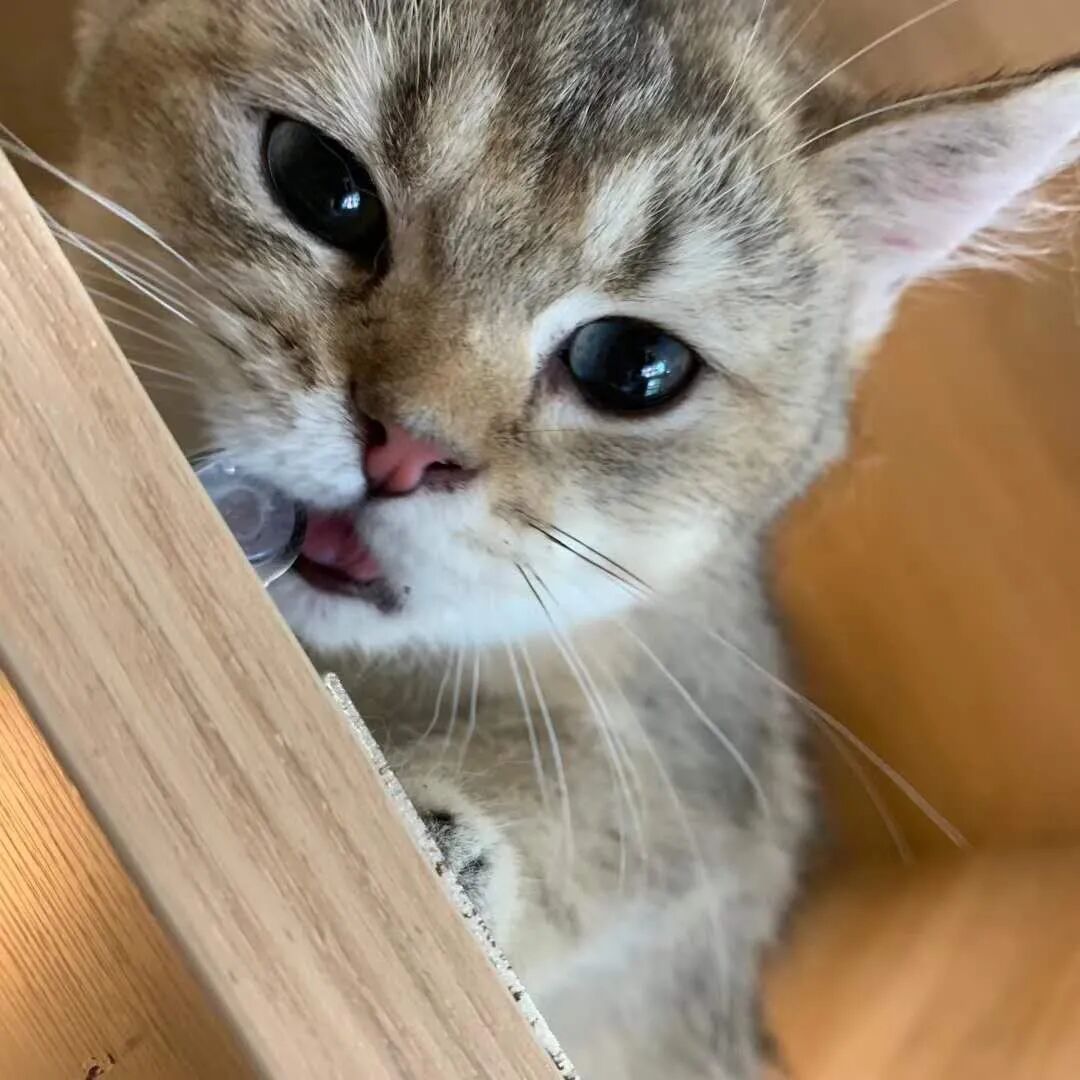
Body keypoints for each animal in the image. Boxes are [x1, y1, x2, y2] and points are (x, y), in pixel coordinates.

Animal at [61, 1, 1080, 1076]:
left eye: (634, 365)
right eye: (321, 183)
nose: (406, 449)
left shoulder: (703, 777)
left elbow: (598, 804)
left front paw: (454, 829)